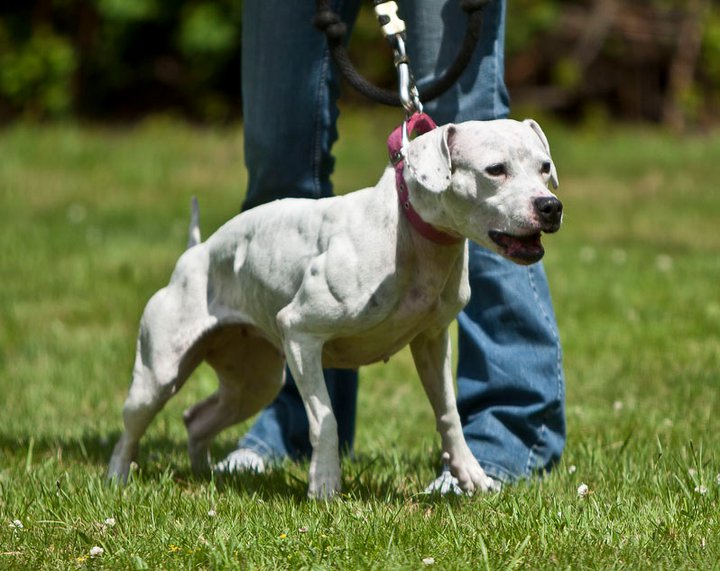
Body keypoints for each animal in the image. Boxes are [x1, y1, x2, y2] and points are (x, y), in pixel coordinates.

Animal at [107, 118, 560, 498]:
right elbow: (325, 419)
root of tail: (195, 251)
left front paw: (470, 475)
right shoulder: (300, 333)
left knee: (196, 418)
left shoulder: (432, 342)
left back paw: (204, 475)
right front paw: (324, 485)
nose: (551, 206)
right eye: (495, 170)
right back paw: (117, 479)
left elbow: (449, 412)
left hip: (254, 381)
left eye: (544, 168)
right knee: (132, 429)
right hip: (158, 375)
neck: (412, 233)